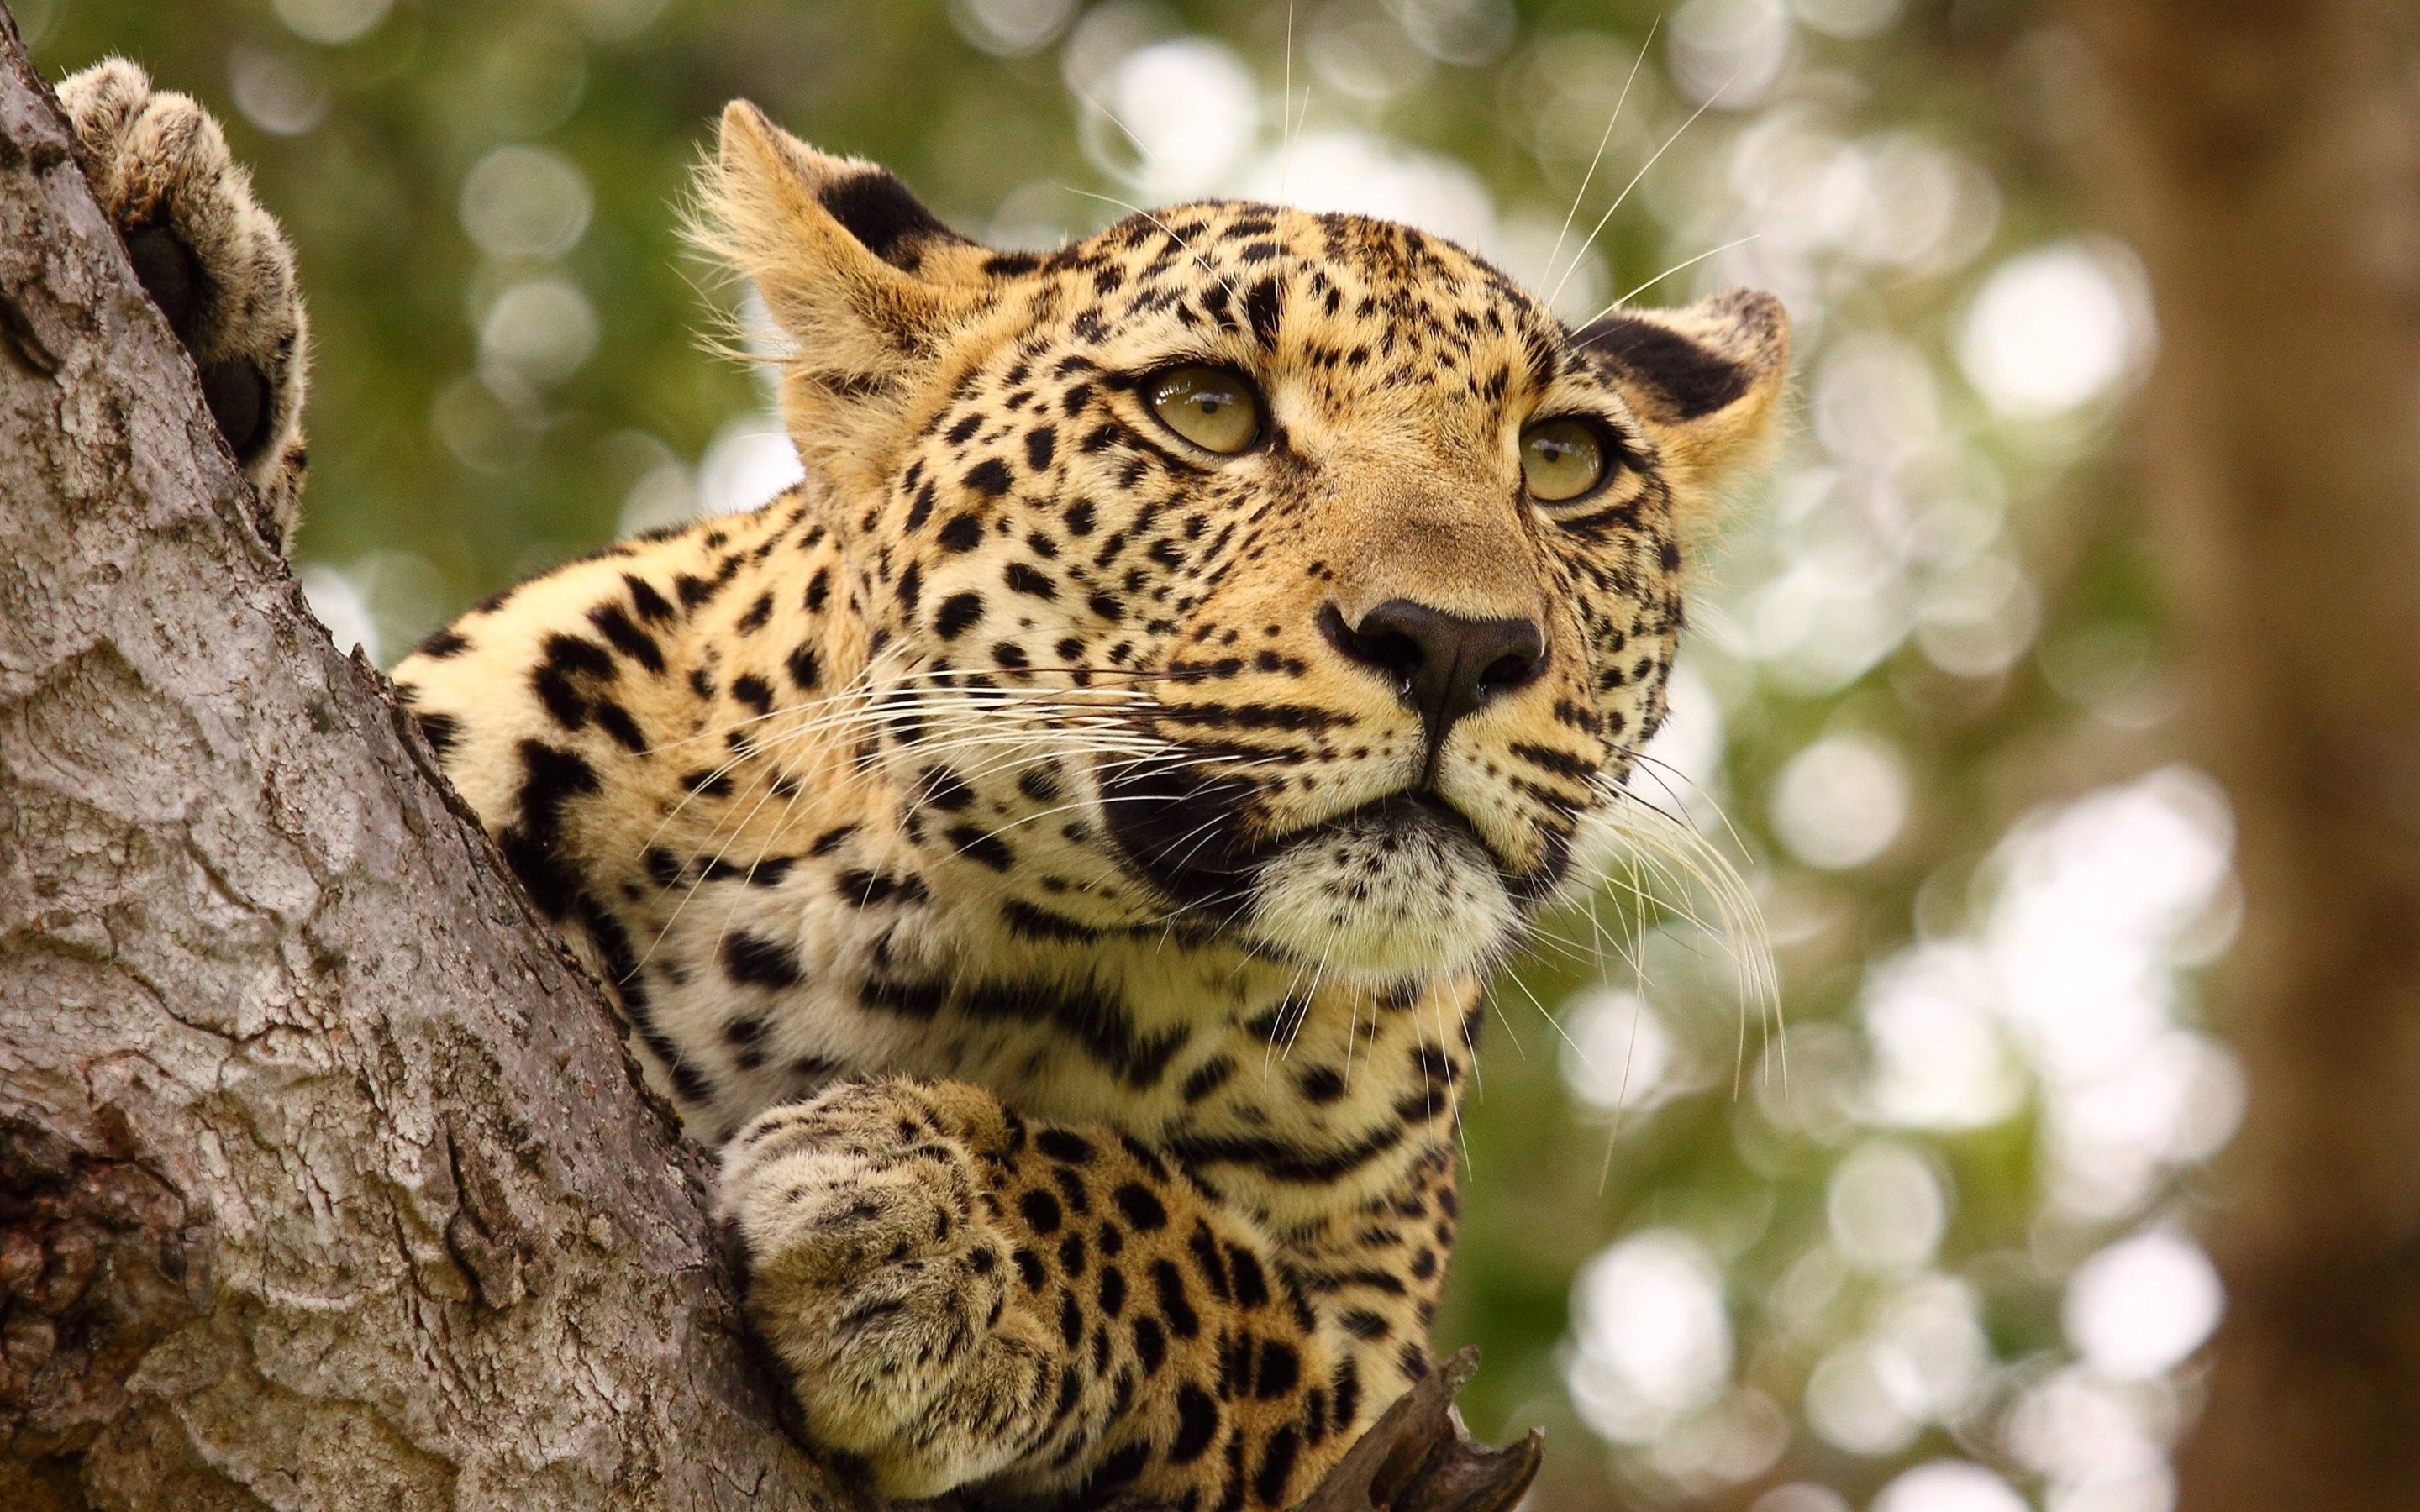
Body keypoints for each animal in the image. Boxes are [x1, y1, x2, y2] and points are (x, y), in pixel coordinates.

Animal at [56, 59, 1791, 1509]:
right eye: (1209, 409)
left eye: (1564, 464)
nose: (1453, 643)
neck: (954, 946)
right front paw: (171, 259)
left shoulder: (1384, 1388)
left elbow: (1211, 1282)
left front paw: (933, 1232)